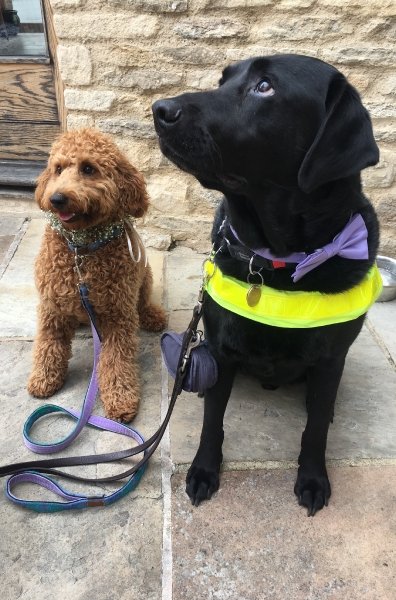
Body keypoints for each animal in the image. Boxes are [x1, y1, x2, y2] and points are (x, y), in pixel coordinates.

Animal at [27, 129, 167, 422]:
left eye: (88, 168)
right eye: (58, 169)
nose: (56, 199)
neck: (81, 250)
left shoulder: (118, 315)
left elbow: (116, 361)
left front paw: (120, 399)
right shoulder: (52, 308)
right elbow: (48, 344)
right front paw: (44, 378)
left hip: (145, 276)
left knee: (143, 302)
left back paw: (152, 316)